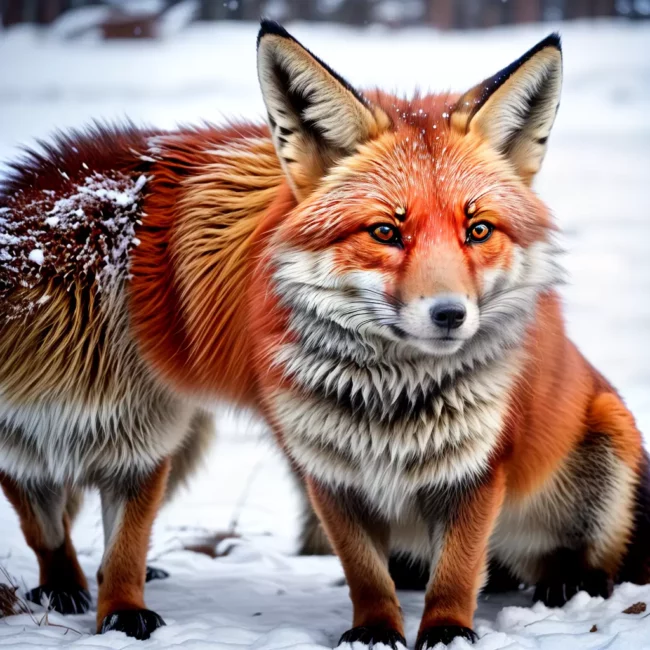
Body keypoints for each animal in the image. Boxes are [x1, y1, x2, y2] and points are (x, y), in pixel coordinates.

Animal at [1, 19, 649, 646]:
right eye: (386, 231)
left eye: (479, 229)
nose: (449, 315)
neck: (392, 407)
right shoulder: (329, 474)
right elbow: (365, 572)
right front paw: (376, 632)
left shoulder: (477, 470)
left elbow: (458, 571)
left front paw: (447, 633)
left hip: (606, 445)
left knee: (576, 563)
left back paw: (566, 585)